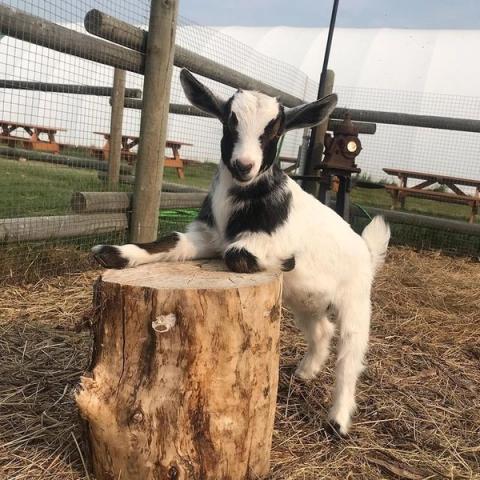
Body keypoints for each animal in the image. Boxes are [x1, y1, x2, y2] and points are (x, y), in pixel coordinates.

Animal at [93, 68, 390, 436]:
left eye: (275, 129)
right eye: (228, 121)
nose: (243, 165)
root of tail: (367, 250)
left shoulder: (255, 242)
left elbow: (237, 254)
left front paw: (287, 259)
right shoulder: (206, 236)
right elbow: (170, 241)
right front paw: (113, 253)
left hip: (356, 300)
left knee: (350, 354)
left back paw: (338, 420)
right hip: (305, 301)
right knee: (322, 329)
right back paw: (305, 372)